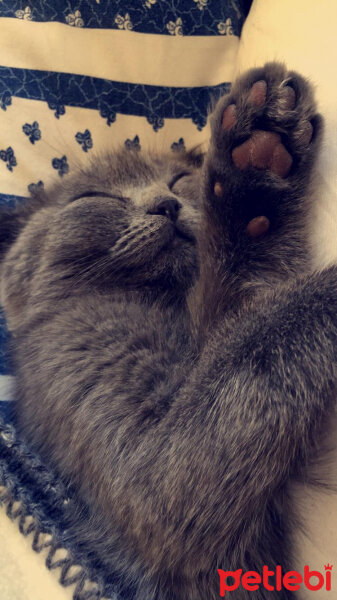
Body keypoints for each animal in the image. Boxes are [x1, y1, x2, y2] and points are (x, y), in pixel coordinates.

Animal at [0, 62, 336, 600]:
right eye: (94, 198)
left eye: (179, 181)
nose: (165, 205)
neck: (167, 302)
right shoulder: (146, 460)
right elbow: (258, 340)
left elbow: (242, 313)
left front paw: (257, 165)